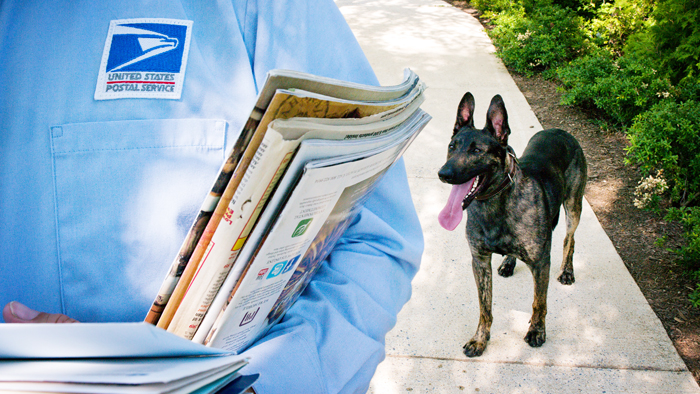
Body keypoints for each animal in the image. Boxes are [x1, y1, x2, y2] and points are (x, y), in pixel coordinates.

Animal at [438, 92, 584, 358]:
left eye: (477, 150)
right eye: (452, 146)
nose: (444, 174)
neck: (495, 203)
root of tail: (559, 130)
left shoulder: (541, 263)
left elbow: (539, 303)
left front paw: (537, 331)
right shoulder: (479, 261)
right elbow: (485, 307)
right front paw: (480, 339)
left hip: (573, 206)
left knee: (570, 238)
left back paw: (567, 271)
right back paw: (508, 262)